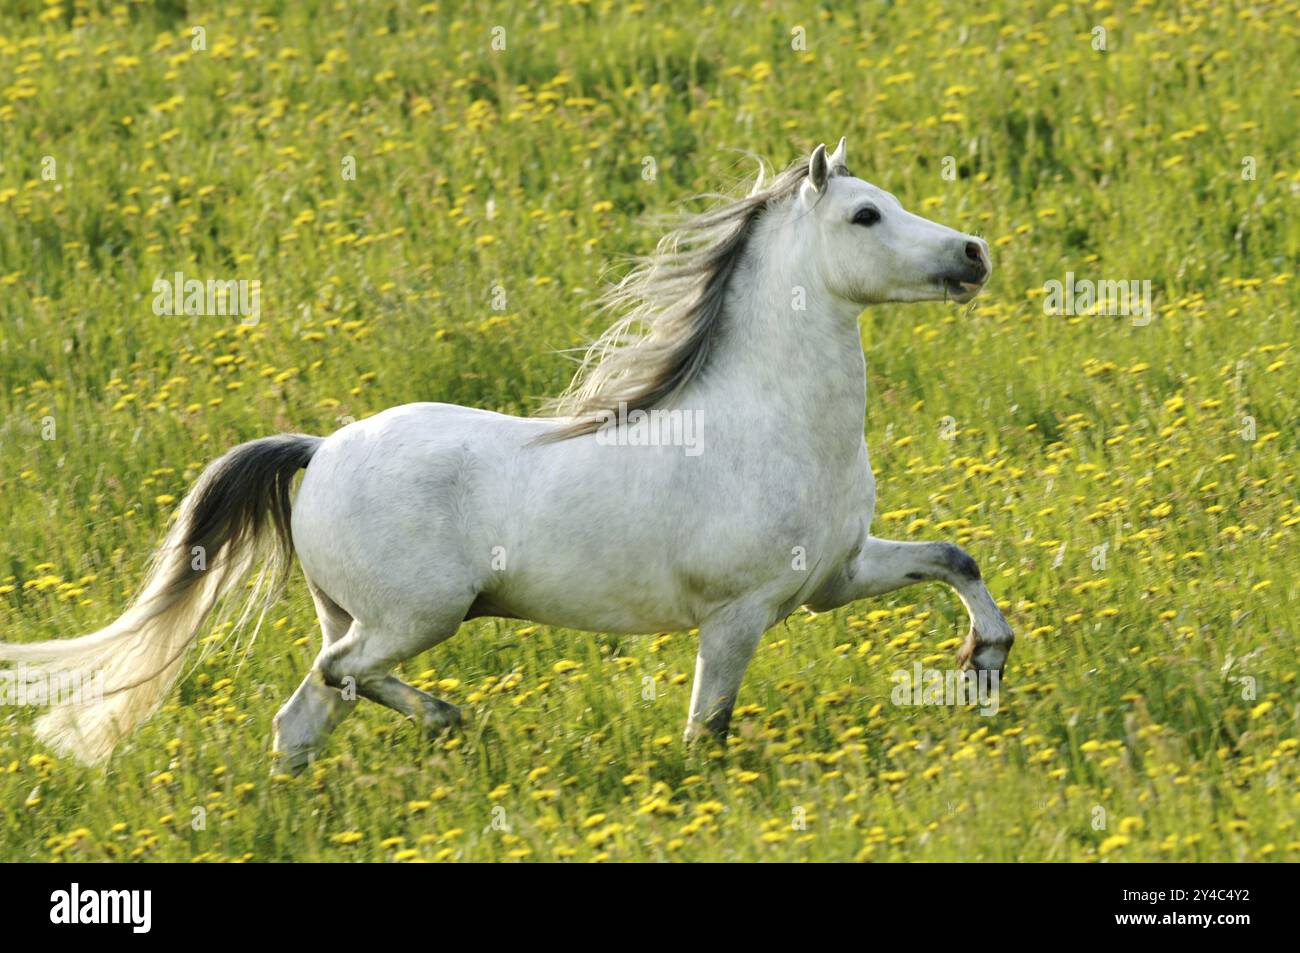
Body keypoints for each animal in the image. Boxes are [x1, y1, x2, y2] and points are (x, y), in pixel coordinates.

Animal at [0, 137, 1008, 769]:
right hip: (417, 615)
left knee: (303, 715)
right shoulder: (738, 614)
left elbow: (954, 557)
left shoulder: (838, 574)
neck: (771, 426)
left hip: (353, 616)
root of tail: (320, 449)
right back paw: (451, 720)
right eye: (866, 215)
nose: (973, 252)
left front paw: (984, 660)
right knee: (341, 678)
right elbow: (708, 729)